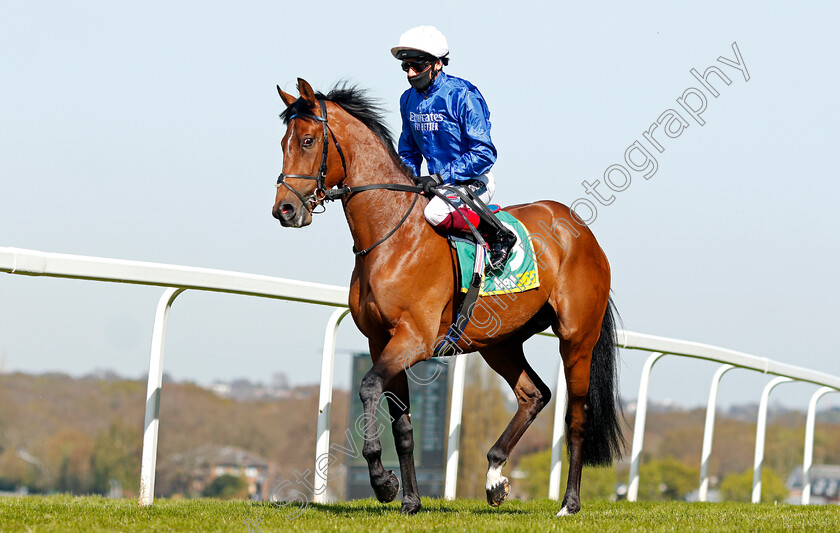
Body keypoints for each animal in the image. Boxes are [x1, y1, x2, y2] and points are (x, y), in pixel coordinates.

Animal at [270, 78, 624, 516]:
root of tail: (582, 232)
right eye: (282, 142)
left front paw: (383, 482)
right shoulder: (380, 341)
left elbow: (368, 387)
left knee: (577, 415)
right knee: (533, 394)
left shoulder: (414, 339)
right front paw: (409, 500)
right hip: (499, 342)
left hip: (577, 338)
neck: (390, 236)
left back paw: (569, 503)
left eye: (307, 140)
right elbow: (402, 425)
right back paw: (495, 478)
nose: (284, 209)